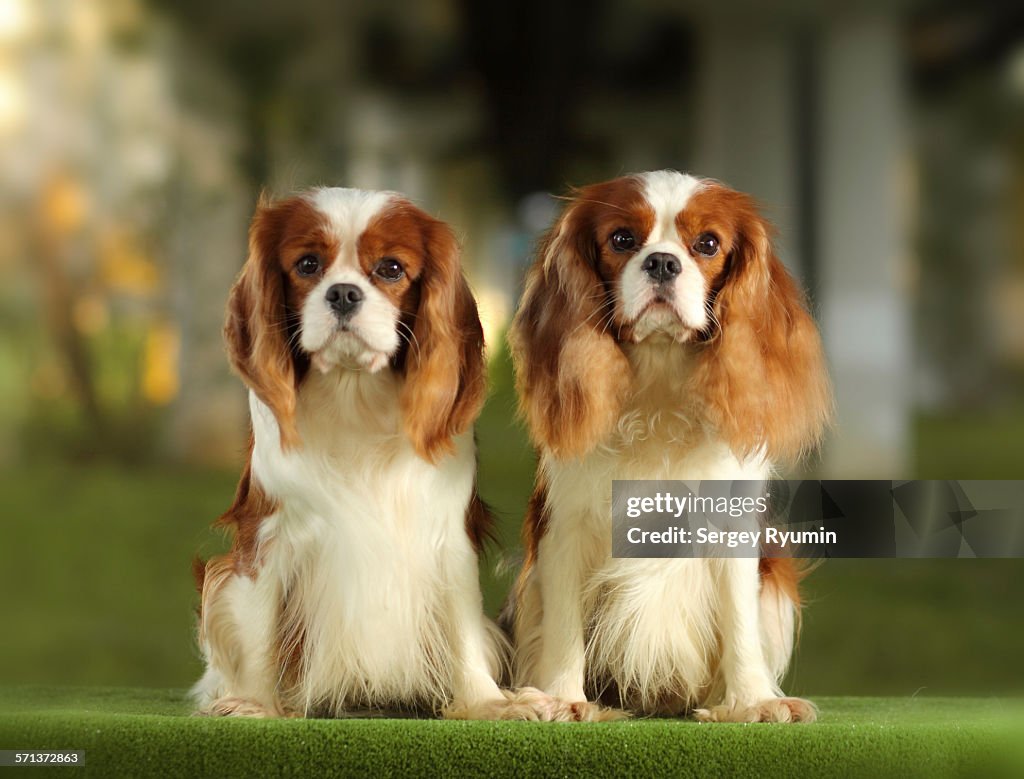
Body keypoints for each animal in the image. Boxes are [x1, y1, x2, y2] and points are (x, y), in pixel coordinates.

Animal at [503, 169, 831, 724]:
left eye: (708, 244)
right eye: (622, 240)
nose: (661, 262)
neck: (659, 380)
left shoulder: (734, 532)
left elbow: (740, 622)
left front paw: (753, 700)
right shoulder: (565, 530)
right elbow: (565, 624)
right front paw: (563, 698)